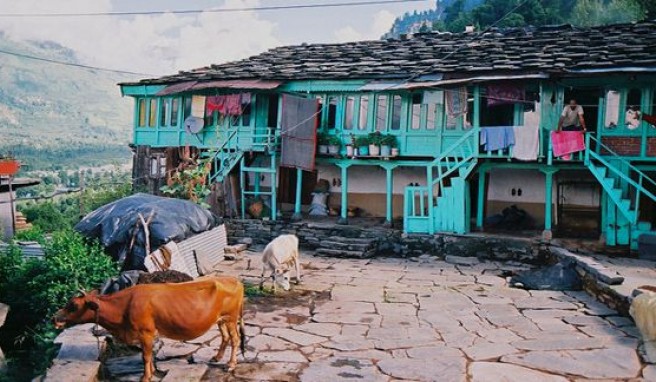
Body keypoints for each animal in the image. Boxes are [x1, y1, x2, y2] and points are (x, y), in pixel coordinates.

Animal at [54, 276, 246, 380]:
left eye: (73, 305)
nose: (54, 317)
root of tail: (233, 279)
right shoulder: (148, 334)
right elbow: (149, 354)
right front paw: (152, 371)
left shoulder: (145, 332)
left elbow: (145, 356)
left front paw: (146, 376)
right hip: (221, 319)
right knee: (225, 337)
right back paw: (217, 357)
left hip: (231, 318)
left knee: (235, 339)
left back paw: (231, 364)